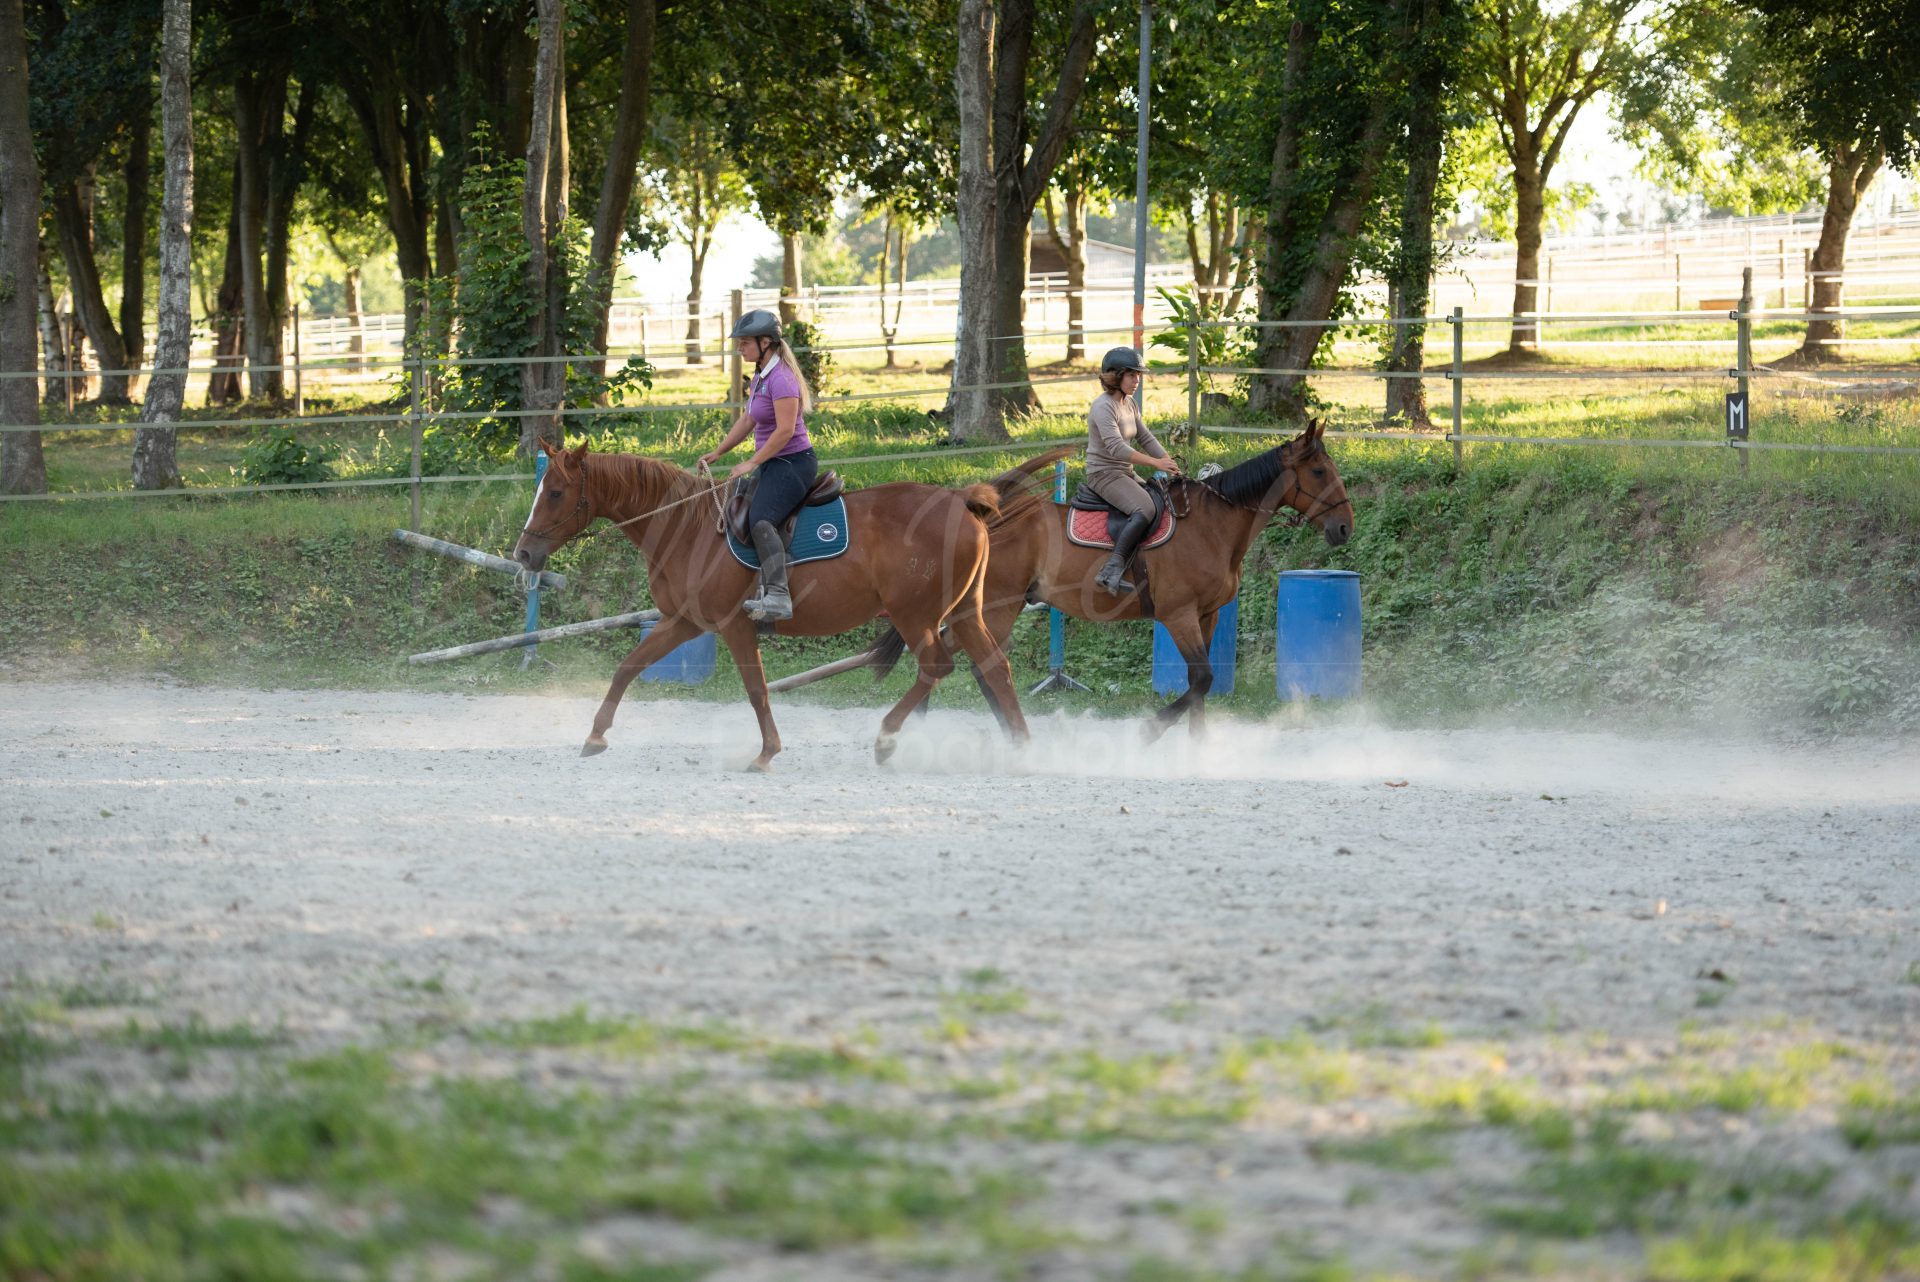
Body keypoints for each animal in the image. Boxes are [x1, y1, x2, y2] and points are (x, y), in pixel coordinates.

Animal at [510, 439, 1029, 769]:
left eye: (554, 492)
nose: (523, 553)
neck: (688, 527)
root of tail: (961, 501)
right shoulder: (683, 621)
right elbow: (627, 667)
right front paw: (595, 735)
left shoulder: (733, 626)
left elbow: (756, 689)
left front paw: (766, 753)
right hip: (964, 612)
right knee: (995, 667)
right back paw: (1022, 748)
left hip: (915, 615)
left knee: (937, 667)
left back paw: (886, 739)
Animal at [868, 420, 1354, 740]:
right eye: (1318, 472)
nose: (1344, 527)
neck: (1212, 526)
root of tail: (985, 518)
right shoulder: (1178, 616)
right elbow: (1200, 678)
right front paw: (1151, 729)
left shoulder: (1208, 616)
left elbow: (1201, 684)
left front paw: (1198, 746)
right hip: (998, 607)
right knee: (979, 666)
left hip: (992, 610)